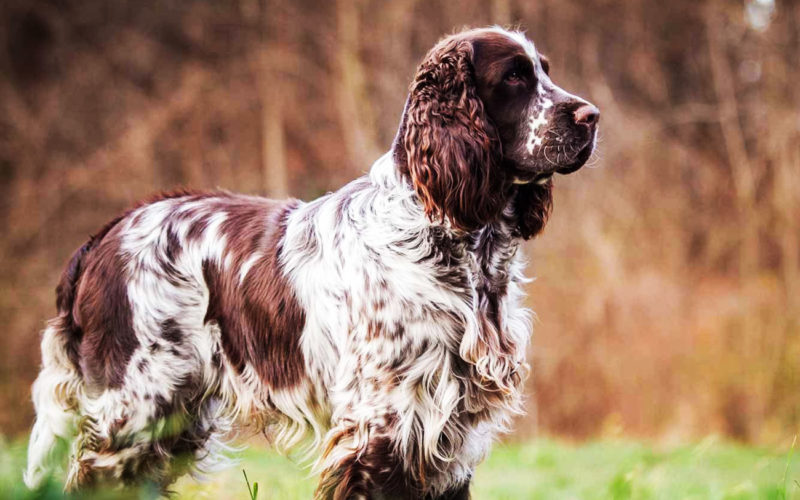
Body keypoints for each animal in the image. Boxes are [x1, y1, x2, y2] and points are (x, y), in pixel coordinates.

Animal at [25, 28, 596, 500]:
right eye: (515, 77)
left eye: (545, 70)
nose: (591, 116)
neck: (451, 240)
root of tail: (102, 238)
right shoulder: (382, 429)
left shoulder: (447, 438)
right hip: (135, 412)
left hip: (169, 422)